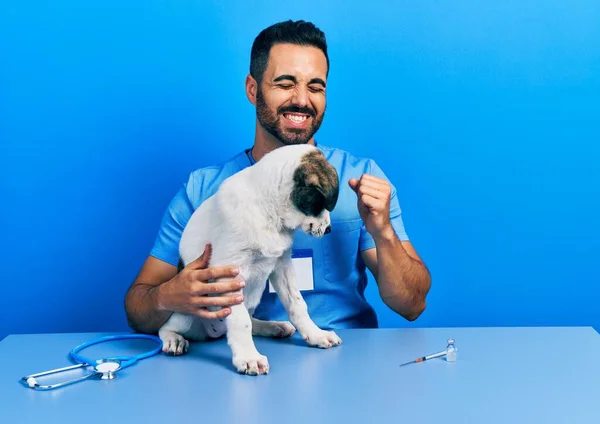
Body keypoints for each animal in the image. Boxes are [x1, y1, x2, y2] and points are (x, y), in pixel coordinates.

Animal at [158, 144, 342, 376]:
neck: (269, 211)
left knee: (251, 319)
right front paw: (248, 357)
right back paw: (174, 339)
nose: (329, 230)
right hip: (185, 309)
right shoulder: (229, 272)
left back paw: (273, 326)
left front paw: (316, 334)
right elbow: (240, 322)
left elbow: (297, 304)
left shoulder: (282, 265)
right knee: (165, 327)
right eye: (320, 202)